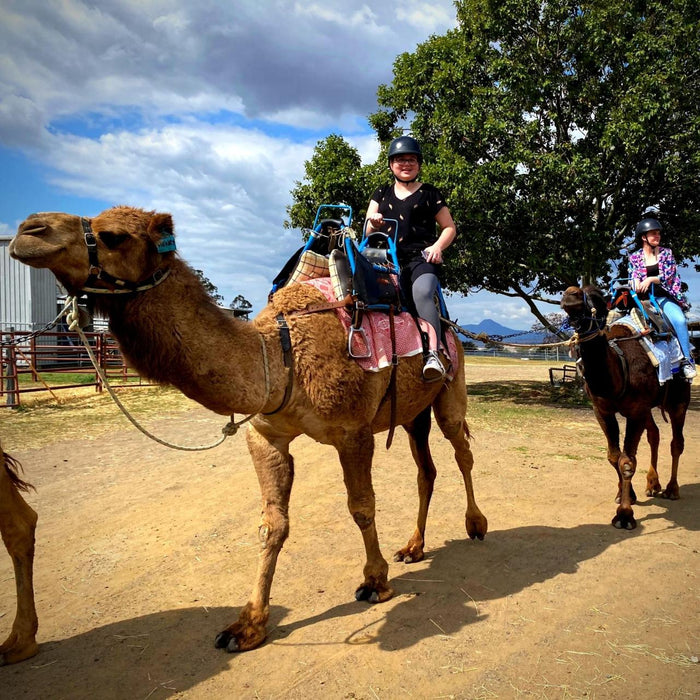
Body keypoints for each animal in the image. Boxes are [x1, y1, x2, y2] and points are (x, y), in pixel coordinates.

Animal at [6, 205, 486, 660]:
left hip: (450, 389)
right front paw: (248, 625)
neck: (280, 356)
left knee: (461, 450)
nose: (29, 231)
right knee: (426, 470)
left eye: (113, 236)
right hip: (411, 413)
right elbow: (272, 524)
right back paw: (413, 546)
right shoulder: (266, 435)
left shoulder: (353, 431)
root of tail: (452, 331)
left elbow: (361, 507)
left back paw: (476, 524)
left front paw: (375, 582)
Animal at [560, 284, 692, 532]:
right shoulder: (602, 410)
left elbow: (628, 461)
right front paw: (626, 496)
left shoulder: (636, 410)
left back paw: (672, 489)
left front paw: (624, 515)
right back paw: (652, 484)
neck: (620, 366)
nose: (570, 294)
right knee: (654, 434)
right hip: (648, 408)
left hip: (678, 401)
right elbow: (615, 457)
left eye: (597, 299)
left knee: (676, 442)